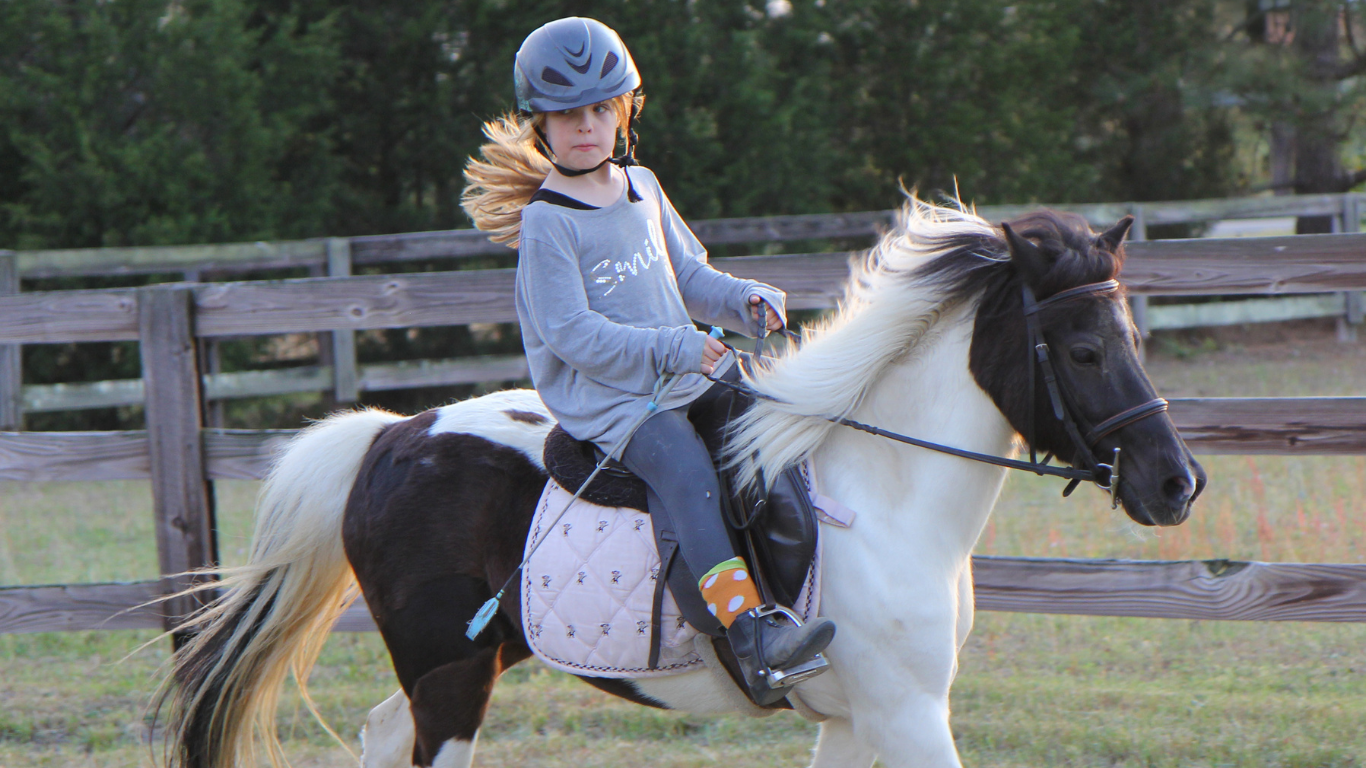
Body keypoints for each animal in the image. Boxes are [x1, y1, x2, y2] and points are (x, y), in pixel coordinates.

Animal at [153, 199, 1206, 768]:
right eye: (1083, 349)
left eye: (1132, 336)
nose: (1176, 483)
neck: (887, 499)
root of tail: (388, 437)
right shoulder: (908, 715)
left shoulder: (858, 718)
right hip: (449, 678)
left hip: (470, 660)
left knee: (377, 734)